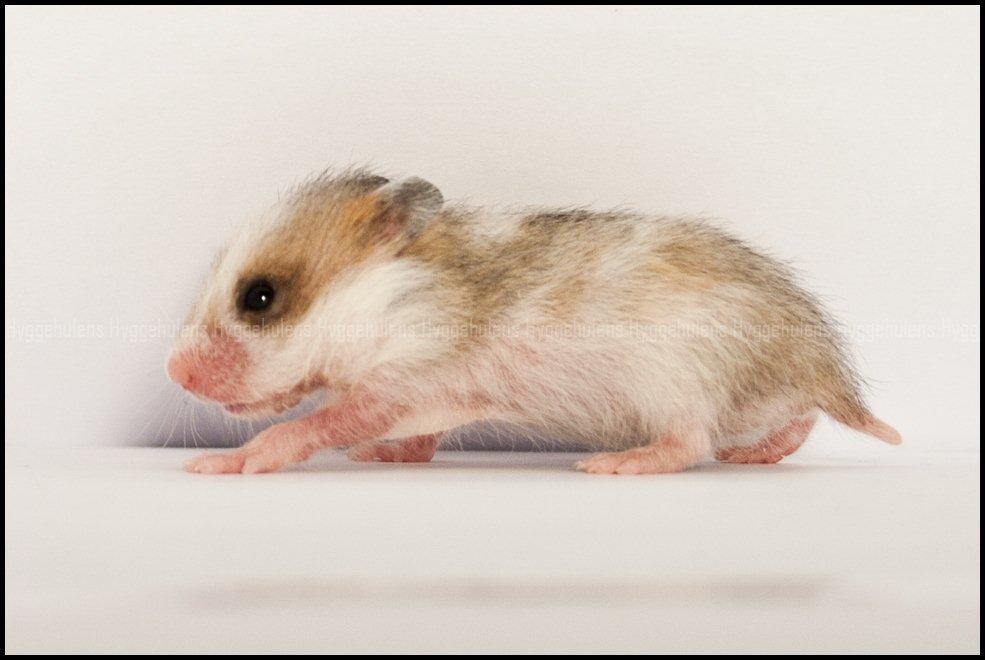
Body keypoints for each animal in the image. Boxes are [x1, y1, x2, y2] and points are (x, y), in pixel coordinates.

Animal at [168, 169, 900, 475]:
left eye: (260, 297)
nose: (174, 372)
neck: (387, 299)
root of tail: (826, 372)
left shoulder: (403, 378)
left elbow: (310, 426)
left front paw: (220, 464)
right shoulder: (437, 398)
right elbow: (413, 437)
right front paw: (377, 456)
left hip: (675, 382)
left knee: (690, 444)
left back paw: (614, 465)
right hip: (759, 397)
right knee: (798, 421)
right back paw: (751, 455)